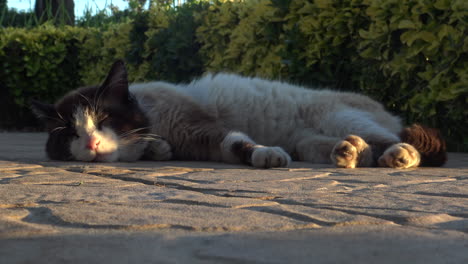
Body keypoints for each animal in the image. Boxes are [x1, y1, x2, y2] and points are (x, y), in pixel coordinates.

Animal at [31, 59, 448, 168]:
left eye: (103, 120)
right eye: (70, 133)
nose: (90, 143)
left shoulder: (202, 130)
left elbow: (238, 145)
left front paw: (267, 157)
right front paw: (158, 150)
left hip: (339, 117)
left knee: (402, 144)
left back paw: (398, 156)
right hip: (309, 142)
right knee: (360, 149)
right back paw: (348, 154)